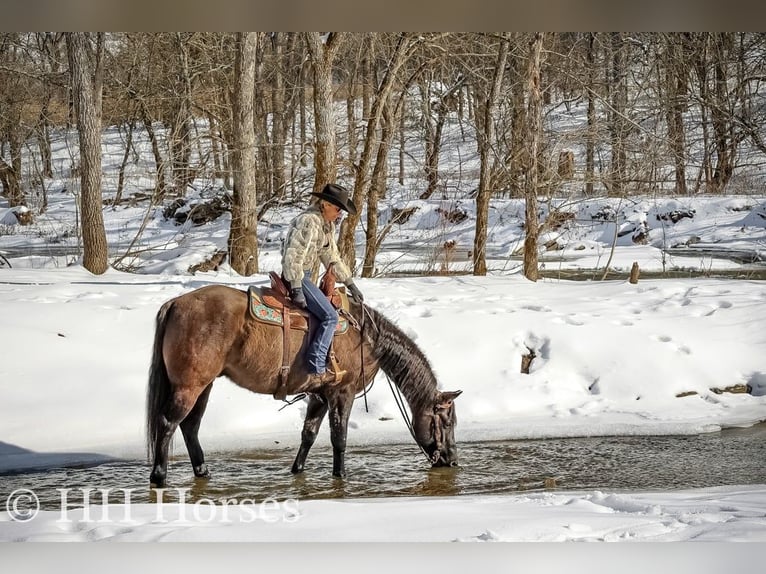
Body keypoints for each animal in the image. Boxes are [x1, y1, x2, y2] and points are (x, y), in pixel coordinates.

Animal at [148, 284, 464, 486]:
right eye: (447, 421)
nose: (452, 460)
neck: (368, 337)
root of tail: (175, 303)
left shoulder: (319, 395)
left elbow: (308, 435)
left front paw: (297, 470)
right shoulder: (342, 392)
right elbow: (339, 438)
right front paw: (341, 476)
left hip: (204, 385)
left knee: (190, 427)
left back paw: (203, 472)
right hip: (189, 386)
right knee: (168, 423)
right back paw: (159, 477)